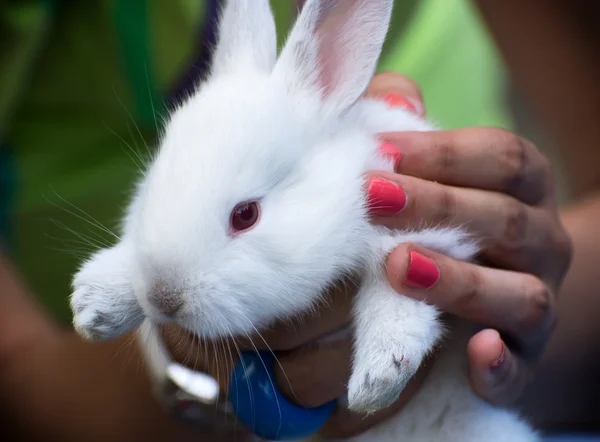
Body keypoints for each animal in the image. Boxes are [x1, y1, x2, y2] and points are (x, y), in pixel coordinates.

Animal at [70, 0, 540, 442]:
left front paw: (377, 379)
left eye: (246, 215)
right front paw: (94, 306)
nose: (165, 299)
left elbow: (398, 296)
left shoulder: (422, 239)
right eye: (155, 182)